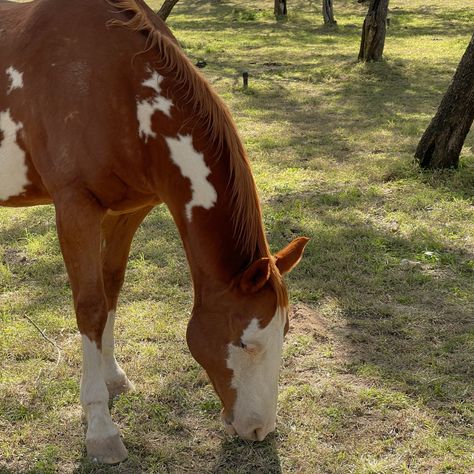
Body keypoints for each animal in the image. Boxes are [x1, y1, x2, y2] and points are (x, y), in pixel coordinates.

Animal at [0, 0, 310, 462]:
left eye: (284, 332)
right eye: (245, 344)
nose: (260, 429)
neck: (114, 86)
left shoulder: (129, 211)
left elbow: (111, 289)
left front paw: (112, 377)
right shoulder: (75, 208)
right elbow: (90, 306)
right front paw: (100, 427)